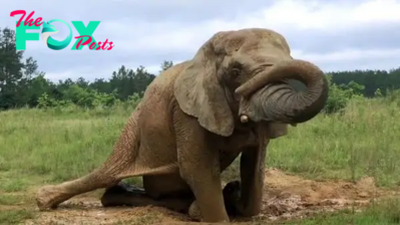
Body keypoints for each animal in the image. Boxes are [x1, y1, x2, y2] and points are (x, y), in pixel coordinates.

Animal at [34, 28, 328, 223]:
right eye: (235, 72)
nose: (244, 100)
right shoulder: (185, 111)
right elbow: (198, 168)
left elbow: (254, 167)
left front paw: (235, 195)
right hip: (132, 128)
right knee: (107, 173)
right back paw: (45, 200)